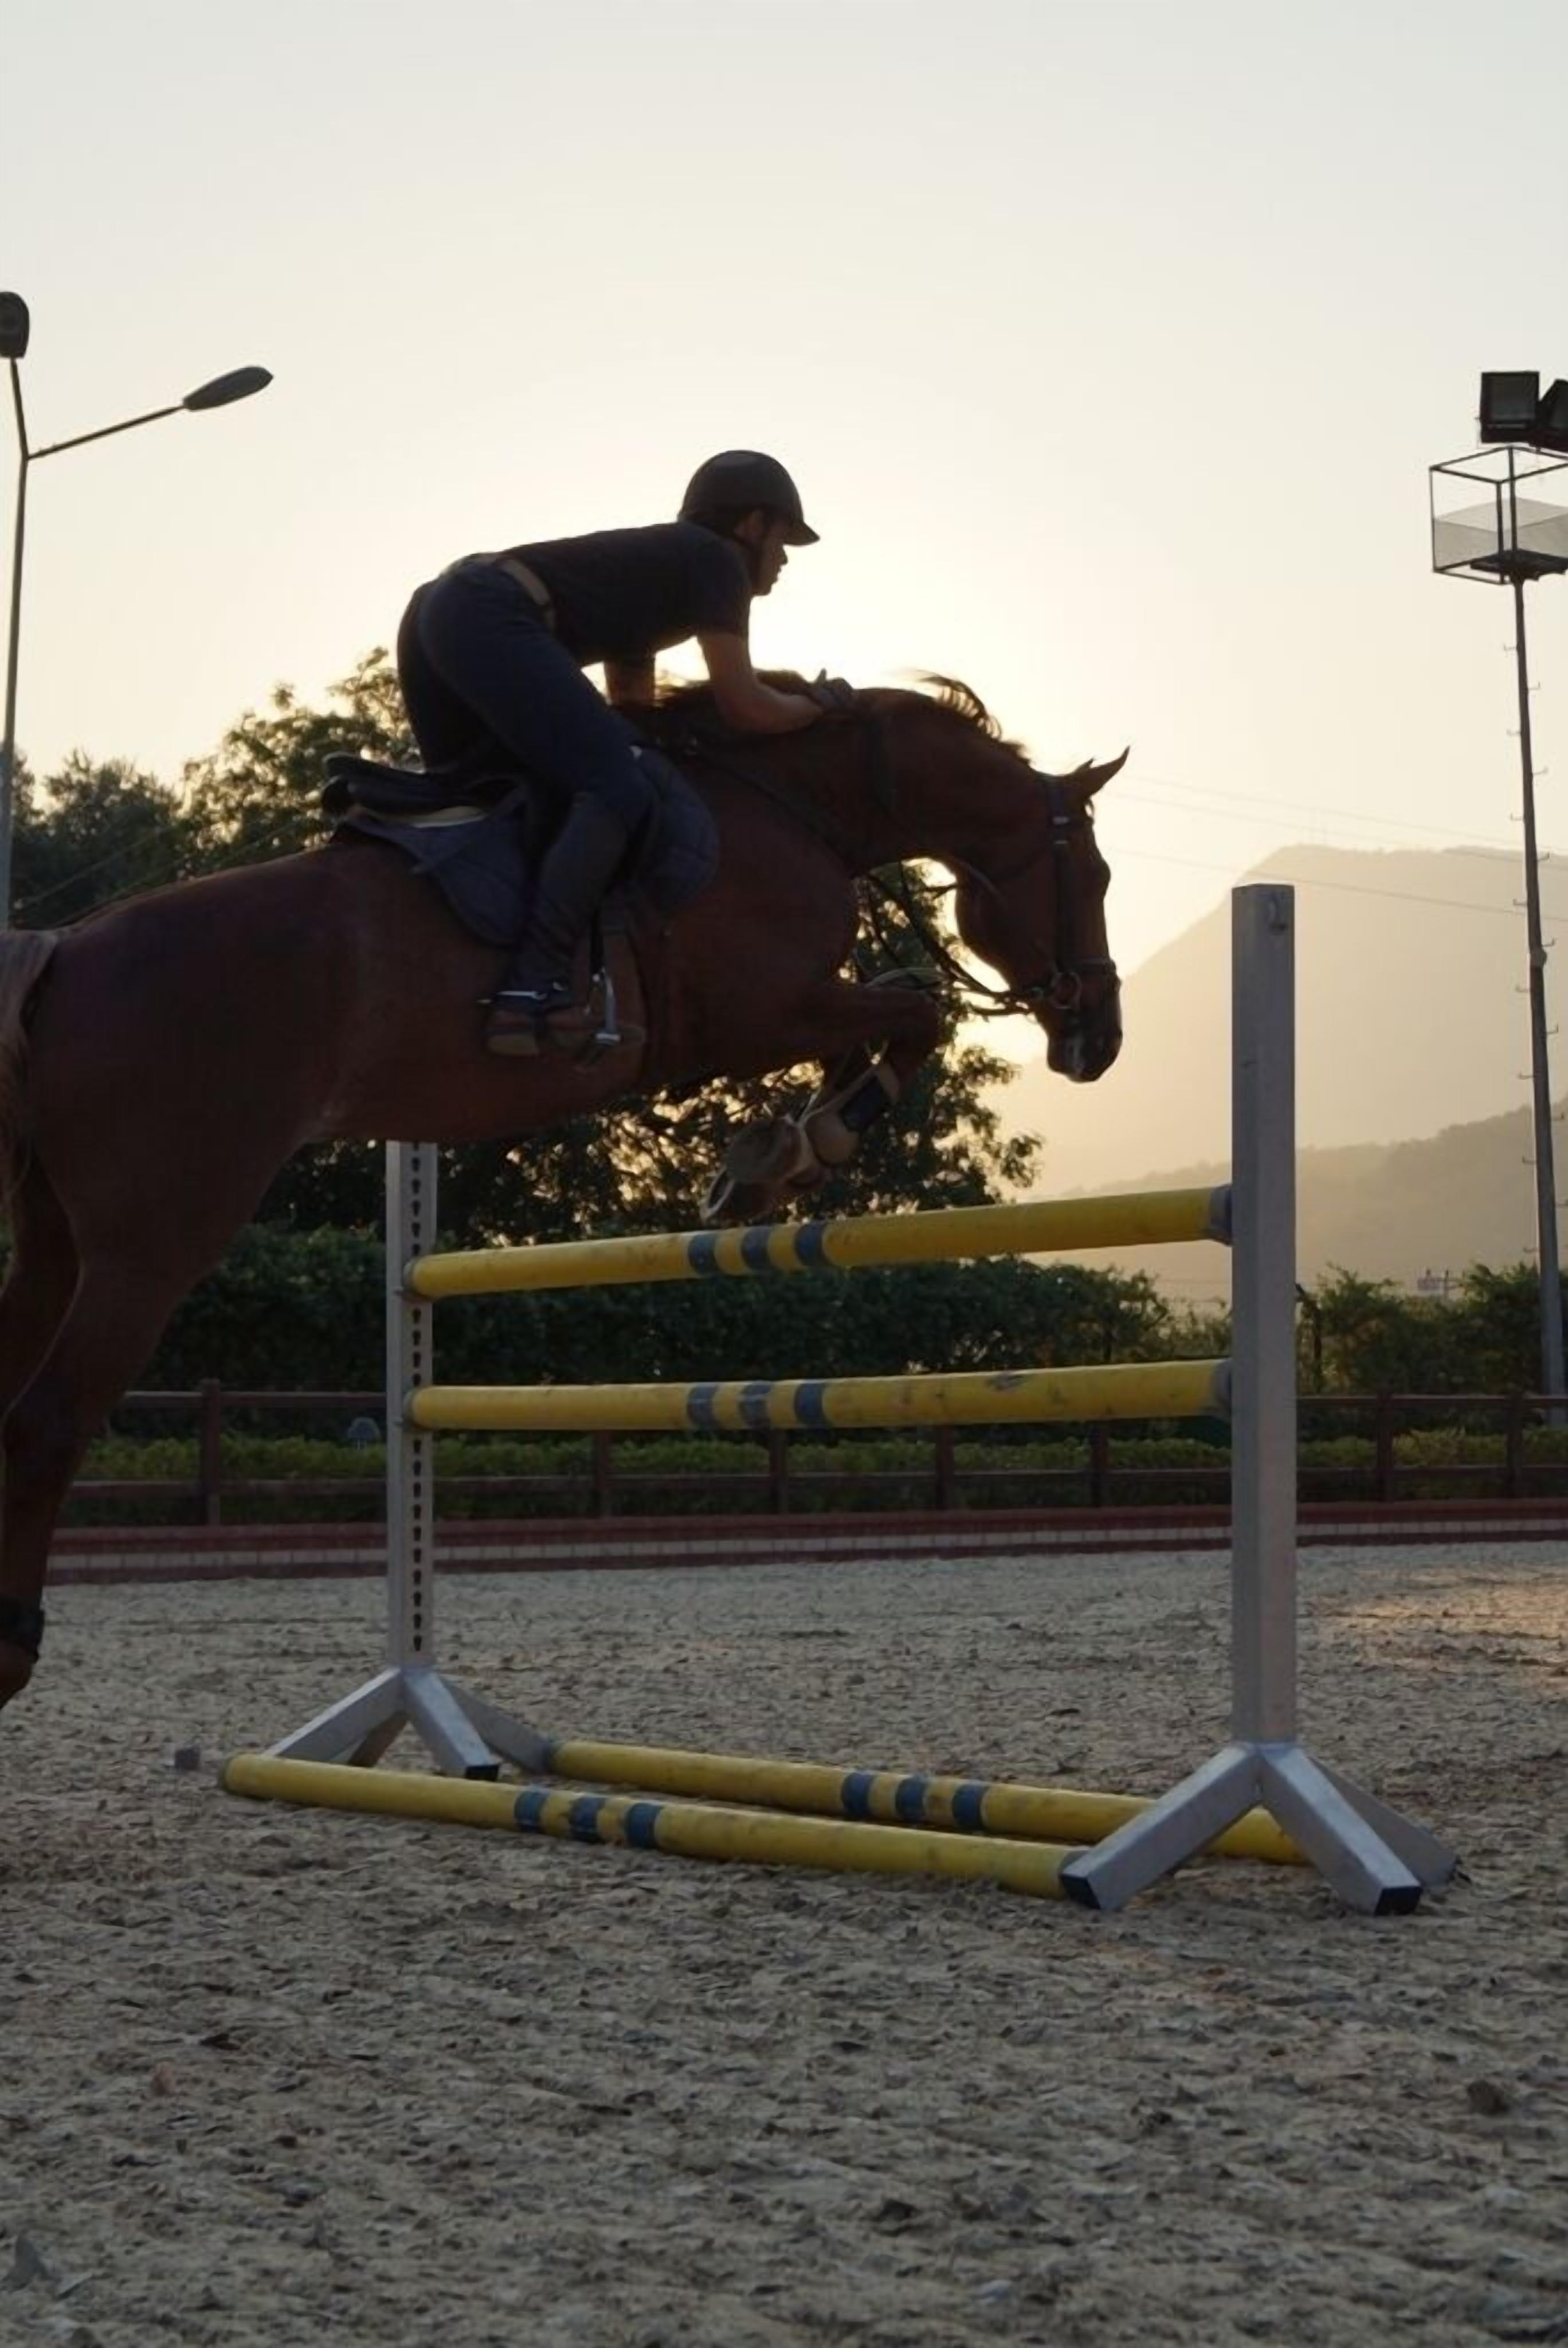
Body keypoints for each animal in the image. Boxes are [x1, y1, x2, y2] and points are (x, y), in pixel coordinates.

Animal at [0, 676, 1124, 1707]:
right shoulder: (756, 1012)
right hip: (152, 1249)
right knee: (48, 1423)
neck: (796, 803)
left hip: (54, 1242)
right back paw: (16, 1649)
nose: (1099, 1041)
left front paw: (774, 1152)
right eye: (1098, 873)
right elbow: (916, 1011)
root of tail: (65, 955)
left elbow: (896, 1007)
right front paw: (801, 1147)